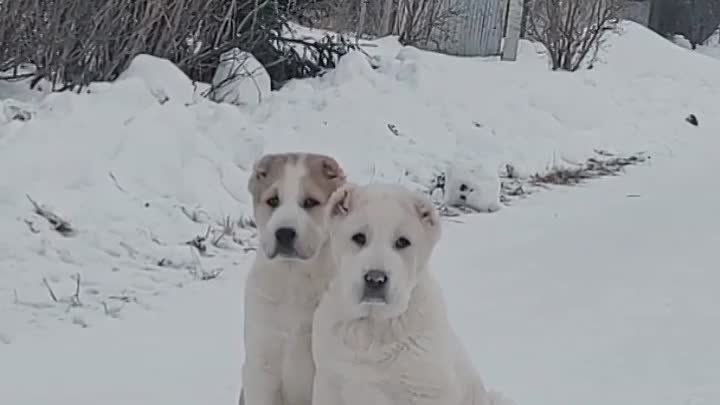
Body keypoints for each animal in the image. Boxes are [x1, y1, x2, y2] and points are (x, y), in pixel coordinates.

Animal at [310, 183, 512, 404]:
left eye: (402, 242)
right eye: (359, 238)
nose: (375, 279)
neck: (373, 327)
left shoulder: (427, 391)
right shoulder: (329, 384)